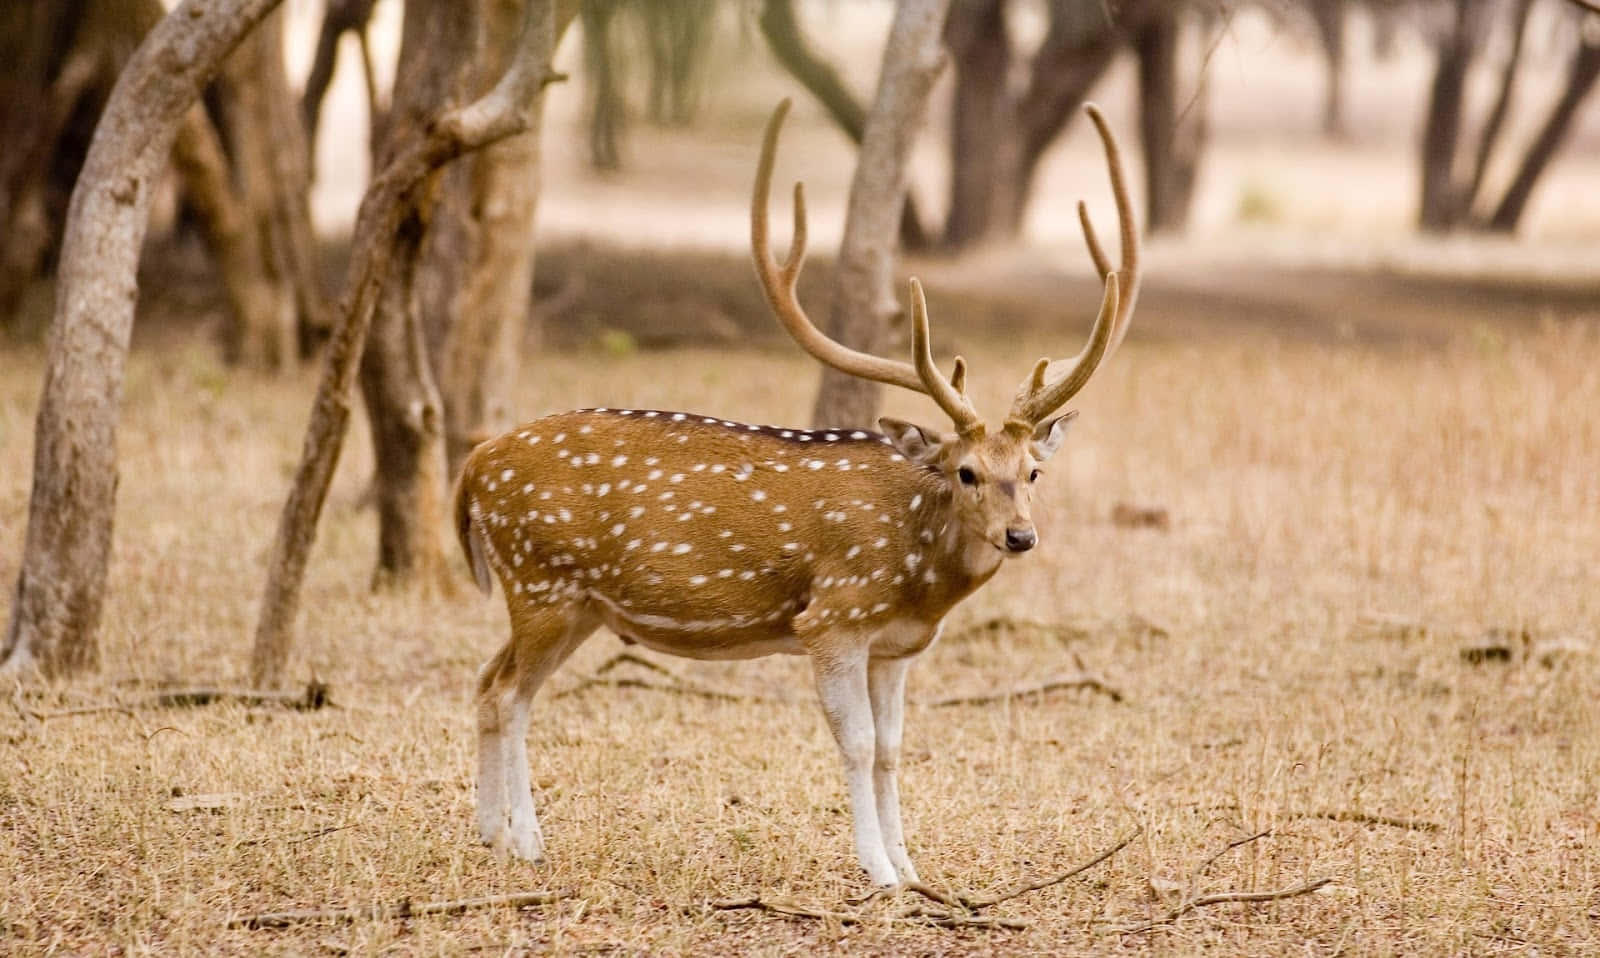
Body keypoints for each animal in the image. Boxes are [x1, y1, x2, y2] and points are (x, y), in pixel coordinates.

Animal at [455, 99, 1139, 887]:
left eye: (1033, 471)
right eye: (964, 471)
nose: (1020, 535)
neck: (916, 576)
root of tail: (473, 465)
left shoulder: (896, 647)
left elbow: (892, 750)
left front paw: (912, 870)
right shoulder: (834, 619)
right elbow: (857, 745)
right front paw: (878, 872)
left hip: (575, 606)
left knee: (489, 682)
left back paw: (490, 835)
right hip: (541, 581)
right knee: (510, 694)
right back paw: (527, 842)